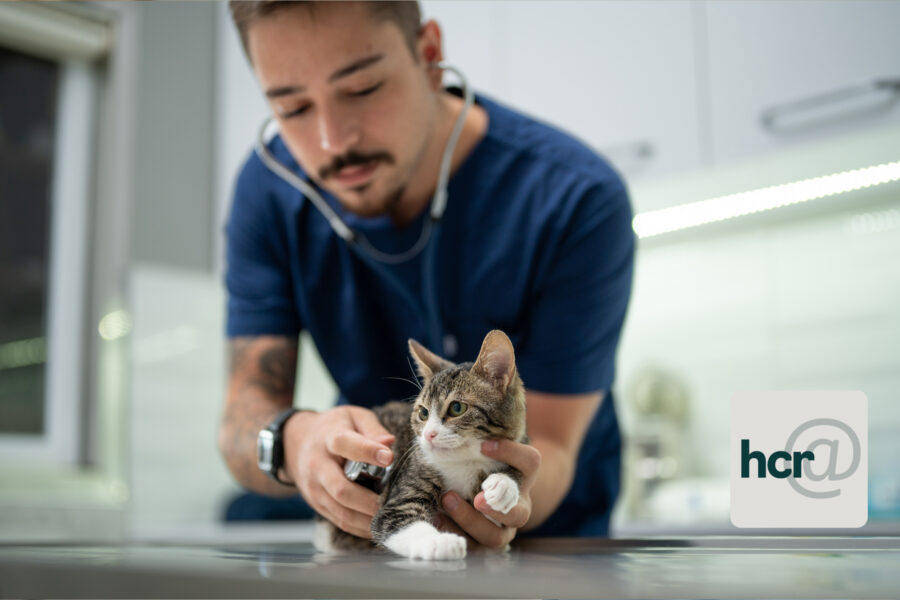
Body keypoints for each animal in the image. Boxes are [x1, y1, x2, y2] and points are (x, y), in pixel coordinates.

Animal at [316, 328, 528, 556]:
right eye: (423, 413)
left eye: (457, 408)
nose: (429, 435)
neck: (464, 462)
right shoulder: (404, 485)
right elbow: (396, 518)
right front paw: (440, 542)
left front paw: (503, 485)